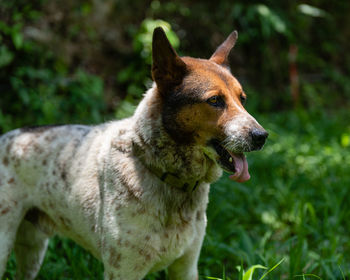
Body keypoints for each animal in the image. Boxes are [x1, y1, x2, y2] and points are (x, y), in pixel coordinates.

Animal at [0, 26, 268, 280]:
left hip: (33, 248)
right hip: (5, 245)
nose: (262, 136)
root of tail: (5, 138)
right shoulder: (123, 269)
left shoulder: (186, 266)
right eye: (214, 101)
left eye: (242, 99)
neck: (166, 175)